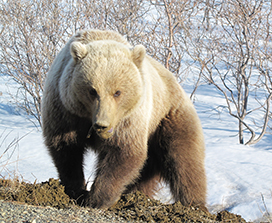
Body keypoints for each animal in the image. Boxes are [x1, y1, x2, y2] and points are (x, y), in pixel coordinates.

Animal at [41, 29, 206, 209]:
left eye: (117, 92)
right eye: (92, 91)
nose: (102, 125)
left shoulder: (130, 119)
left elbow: (123, 152)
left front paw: (96, 200)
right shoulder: (65, 110)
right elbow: (66, 149)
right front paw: (76, 190)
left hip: (167, 118)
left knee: (184, 160)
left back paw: (194, 204)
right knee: (146, 173)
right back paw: (136, 194)